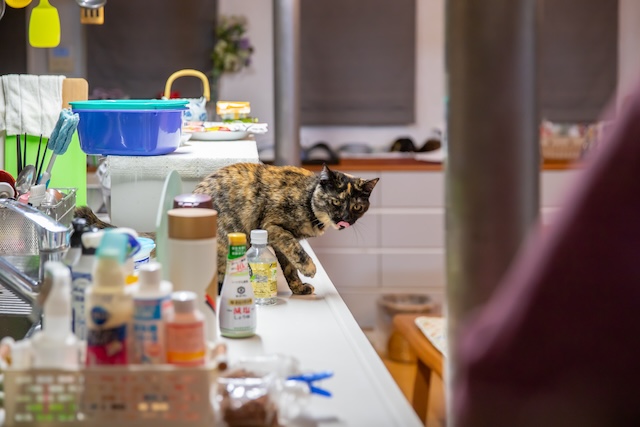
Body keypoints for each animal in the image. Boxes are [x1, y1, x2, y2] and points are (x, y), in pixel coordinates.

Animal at [192, 162, 378, 296]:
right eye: (336, 202)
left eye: (357, 207)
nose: (345, 219)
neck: (307, 197)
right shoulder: (272, 227)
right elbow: (296, 249)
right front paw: (310, 268)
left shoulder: (280, 241)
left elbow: (290, 266)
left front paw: (299, 288)